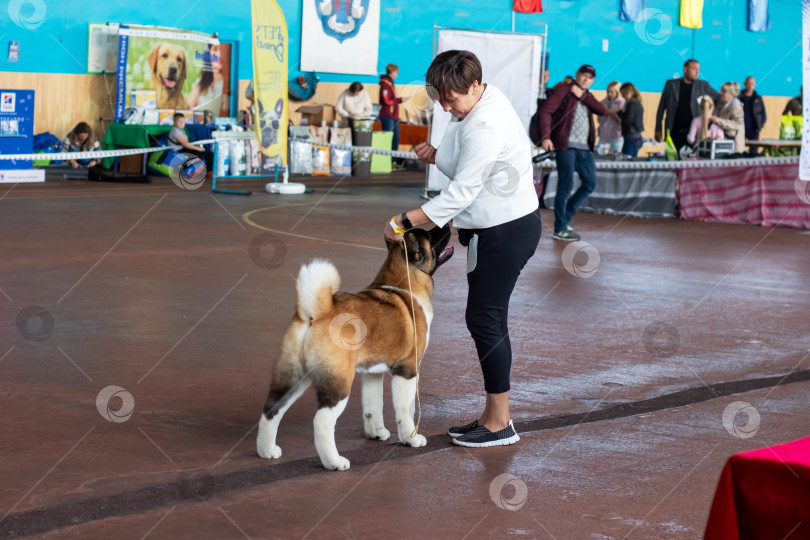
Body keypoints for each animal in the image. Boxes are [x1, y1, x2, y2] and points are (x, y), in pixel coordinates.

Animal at [256, 226, 452, 470]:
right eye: (431, 235)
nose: (448, 226)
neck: (405, 282)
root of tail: (316, 313)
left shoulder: (372, 372)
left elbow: (372, 406)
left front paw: (377, 433)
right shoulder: (406, 370)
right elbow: (405, 409)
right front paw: (411, 438)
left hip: (293, 376)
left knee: (272, 409)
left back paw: (267, 451)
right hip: (338, 382)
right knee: (322, 421)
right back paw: (334, 462)